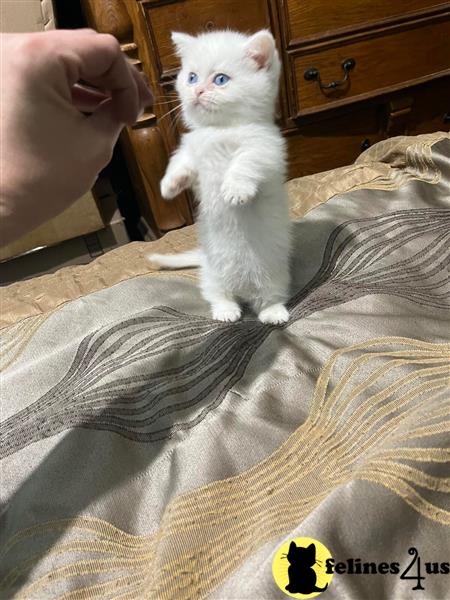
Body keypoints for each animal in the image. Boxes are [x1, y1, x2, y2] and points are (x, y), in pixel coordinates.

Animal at [149, 29, 292, 324]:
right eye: (192, 77)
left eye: (221, 79)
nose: (198, 91)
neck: (220, 131)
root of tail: (244, 291)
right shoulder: (192, 149)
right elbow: (180, 162)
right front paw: (170, 185)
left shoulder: (267, 150)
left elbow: (245, 162)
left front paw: (235, 190)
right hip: (212, 275)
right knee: (216, 294)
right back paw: (226, 311)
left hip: (275, 275)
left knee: (270, 297)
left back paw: (273, 313)